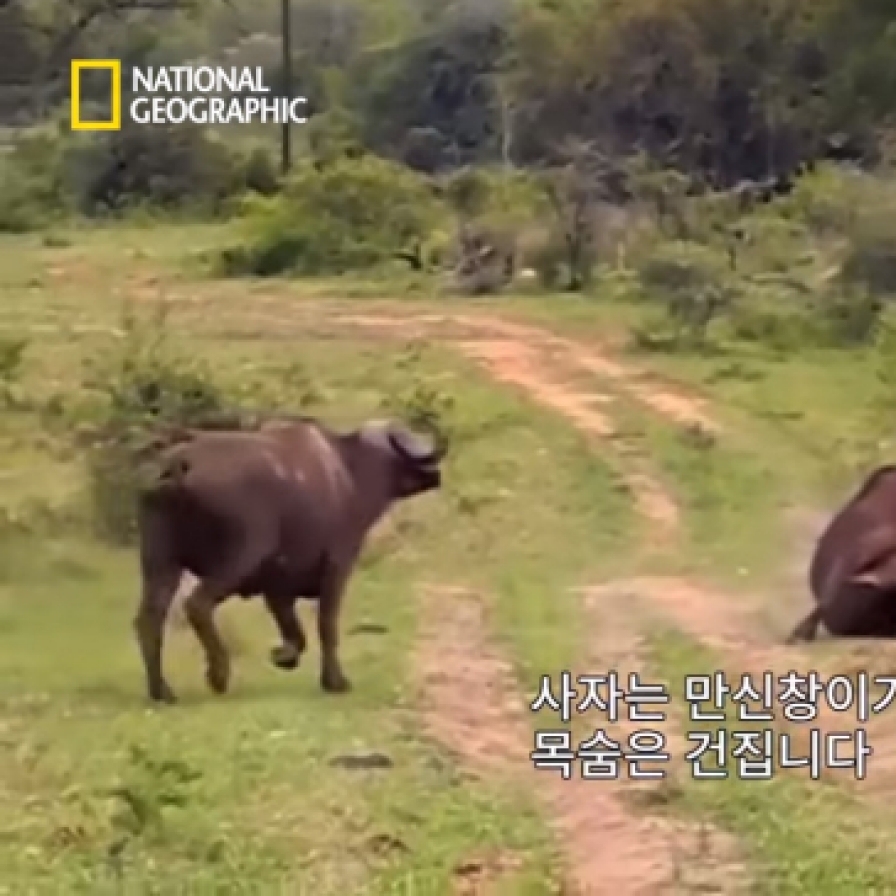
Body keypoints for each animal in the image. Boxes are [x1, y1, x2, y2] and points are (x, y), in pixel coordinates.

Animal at [135, 416, 442, 704]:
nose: (435, 476)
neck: (348, 473)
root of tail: (180, 463)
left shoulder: (278, 588)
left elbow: (295, 632)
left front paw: (283, 655)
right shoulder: (337, 566)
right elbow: (326, 626)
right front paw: (335, 681)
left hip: (160, 562)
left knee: (149, 620)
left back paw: (161, 691)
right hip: (238, 560)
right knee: (197, 604)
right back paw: (218, 674)